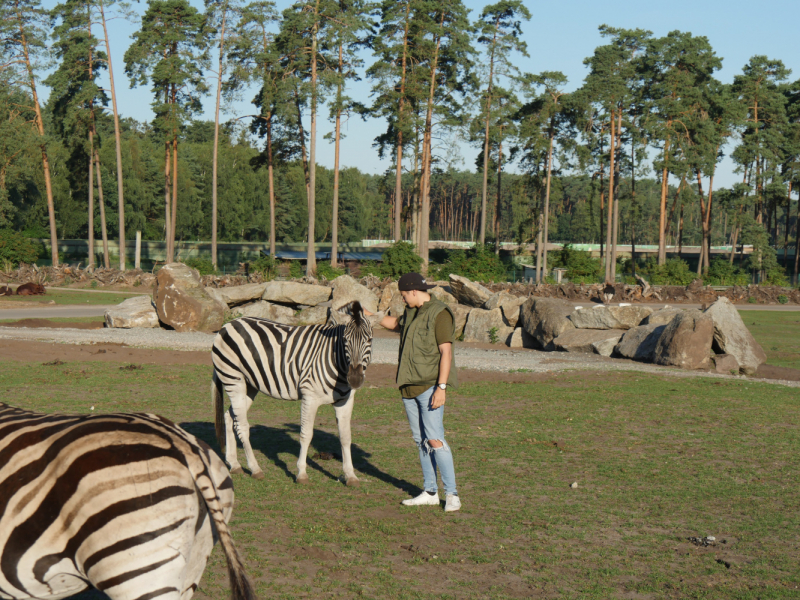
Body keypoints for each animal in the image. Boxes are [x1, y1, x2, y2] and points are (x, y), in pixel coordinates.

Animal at [211, 298, 382, 482]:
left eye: (370, 340)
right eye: (345, 340)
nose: (355, 379)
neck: (337, 363)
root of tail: (228, 324)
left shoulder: (345, 401)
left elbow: (345, 437)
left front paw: (350, 475)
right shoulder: (310, 397)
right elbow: (306, 434)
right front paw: (301, 473)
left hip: (249, 385)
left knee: (230, 417)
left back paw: (234, 464)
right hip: (232, 379)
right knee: (242, 425)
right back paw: (255, 469)